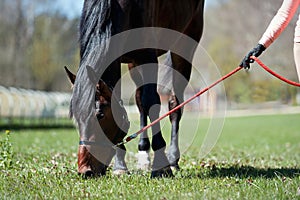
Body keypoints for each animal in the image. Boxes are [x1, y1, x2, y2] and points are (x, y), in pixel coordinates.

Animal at [67, 0, 205, 178]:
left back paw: (173, 160)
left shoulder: (148, 56)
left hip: (184, 46)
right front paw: (120, 166)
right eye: (76, 118)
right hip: (134, 64)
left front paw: (162, 166)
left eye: (100, 115)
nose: (86, 170)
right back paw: (143, 152)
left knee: (174, 104)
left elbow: (152, 102)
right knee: (140, 101)